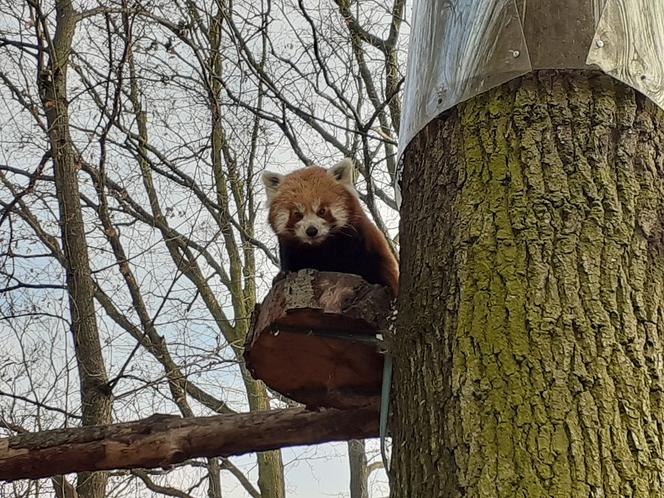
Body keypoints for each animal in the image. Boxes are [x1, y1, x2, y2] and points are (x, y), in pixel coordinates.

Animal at [262, 158, 400, 294]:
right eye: (297, 214)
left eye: (322, 211)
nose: (311, 230)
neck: (320, 247)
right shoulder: (290, 251)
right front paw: (281, 276)